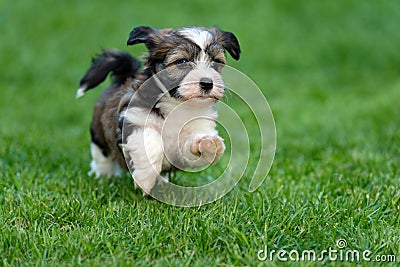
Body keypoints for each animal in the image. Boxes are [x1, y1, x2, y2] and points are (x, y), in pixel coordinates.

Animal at [77, 26, 241, 196]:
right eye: (182, 61)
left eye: (216, 61)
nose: (207, 83)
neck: (176, 104)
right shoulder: (133, 119)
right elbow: (151, 142)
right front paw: (145, 179)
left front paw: (208, 144)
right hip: (99, 136)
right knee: (102, 156)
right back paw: (104, 176)